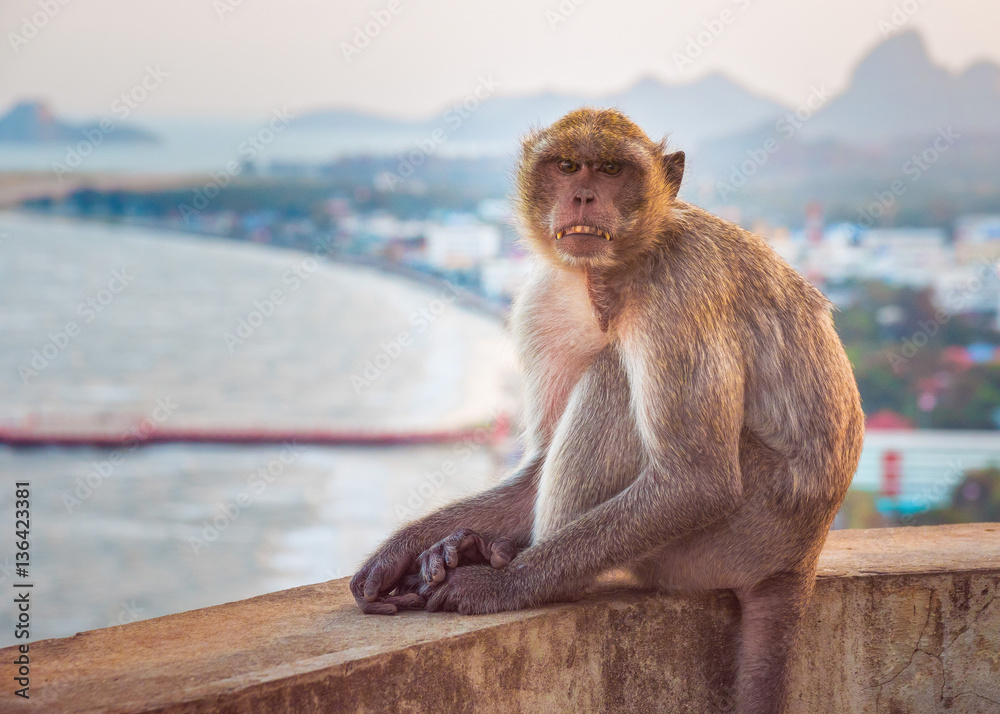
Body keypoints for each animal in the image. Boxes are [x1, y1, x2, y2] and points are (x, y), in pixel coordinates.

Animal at [350, 107, 864, 713]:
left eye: (614, 170)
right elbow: (537, 466)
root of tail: (803, 558)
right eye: (568, 166)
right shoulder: (542, 297)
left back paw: (525, 572)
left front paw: (504, 584)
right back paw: (475, 547)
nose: (583, 196)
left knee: (614, 380)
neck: (611, 272)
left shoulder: (680, 290)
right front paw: (400, 552)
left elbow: (698, 480)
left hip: (743, 534)